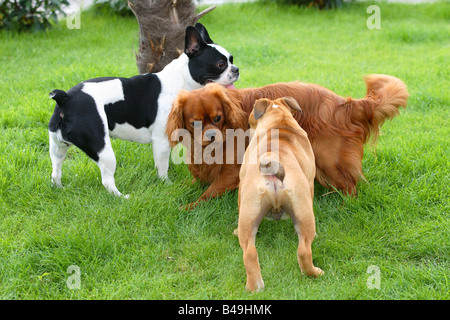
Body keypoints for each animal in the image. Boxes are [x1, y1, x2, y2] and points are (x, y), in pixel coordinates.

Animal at [48, 23, 239, 198]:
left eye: (232, 59)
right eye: (221, 64)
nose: (236, 70)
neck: (181, 79)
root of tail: (66, 98)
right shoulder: (162, 141)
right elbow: (162, 167)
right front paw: (166, 184)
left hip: (57, 146)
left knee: (55, 170)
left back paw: (60, 189)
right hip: (102, 148)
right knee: (107, 179)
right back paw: (122, 197)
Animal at [167, 74, 410, 208]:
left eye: (218, 118)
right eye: (195, 123)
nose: (211, 136)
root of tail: (345, 104)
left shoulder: (232, 172)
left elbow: (206, 194)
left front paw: (188, 207)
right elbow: (194, 182)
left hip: (327, 158)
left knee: (351, 185)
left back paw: (343, 206)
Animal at [237, 96, 322, 292]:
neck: (279, 120)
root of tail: (272, 162)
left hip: (250, 213)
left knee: (249, 252)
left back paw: (254, 287)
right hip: (302, 209)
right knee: (304, 249)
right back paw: (313, 272)